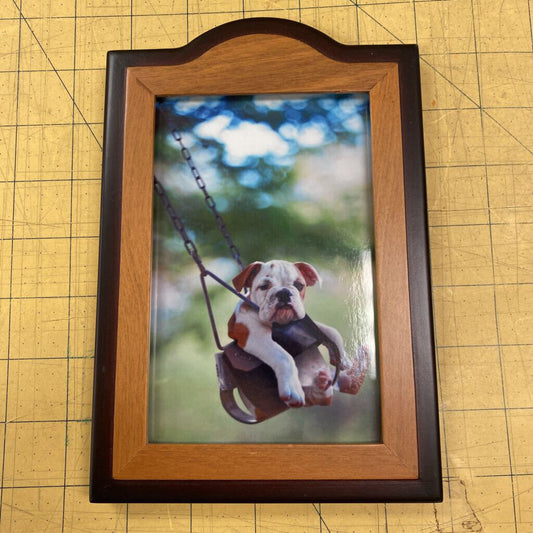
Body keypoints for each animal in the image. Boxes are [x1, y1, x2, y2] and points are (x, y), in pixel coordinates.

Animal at [227, 260, 360, 408]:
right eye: (264, 286)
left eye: (299, 285)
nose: (284, 292)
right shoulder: (255, 336)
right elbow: (284, 356)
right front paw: (292, 388)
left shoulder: (305, 323)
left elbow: (332, 331)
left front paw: (343, 358)